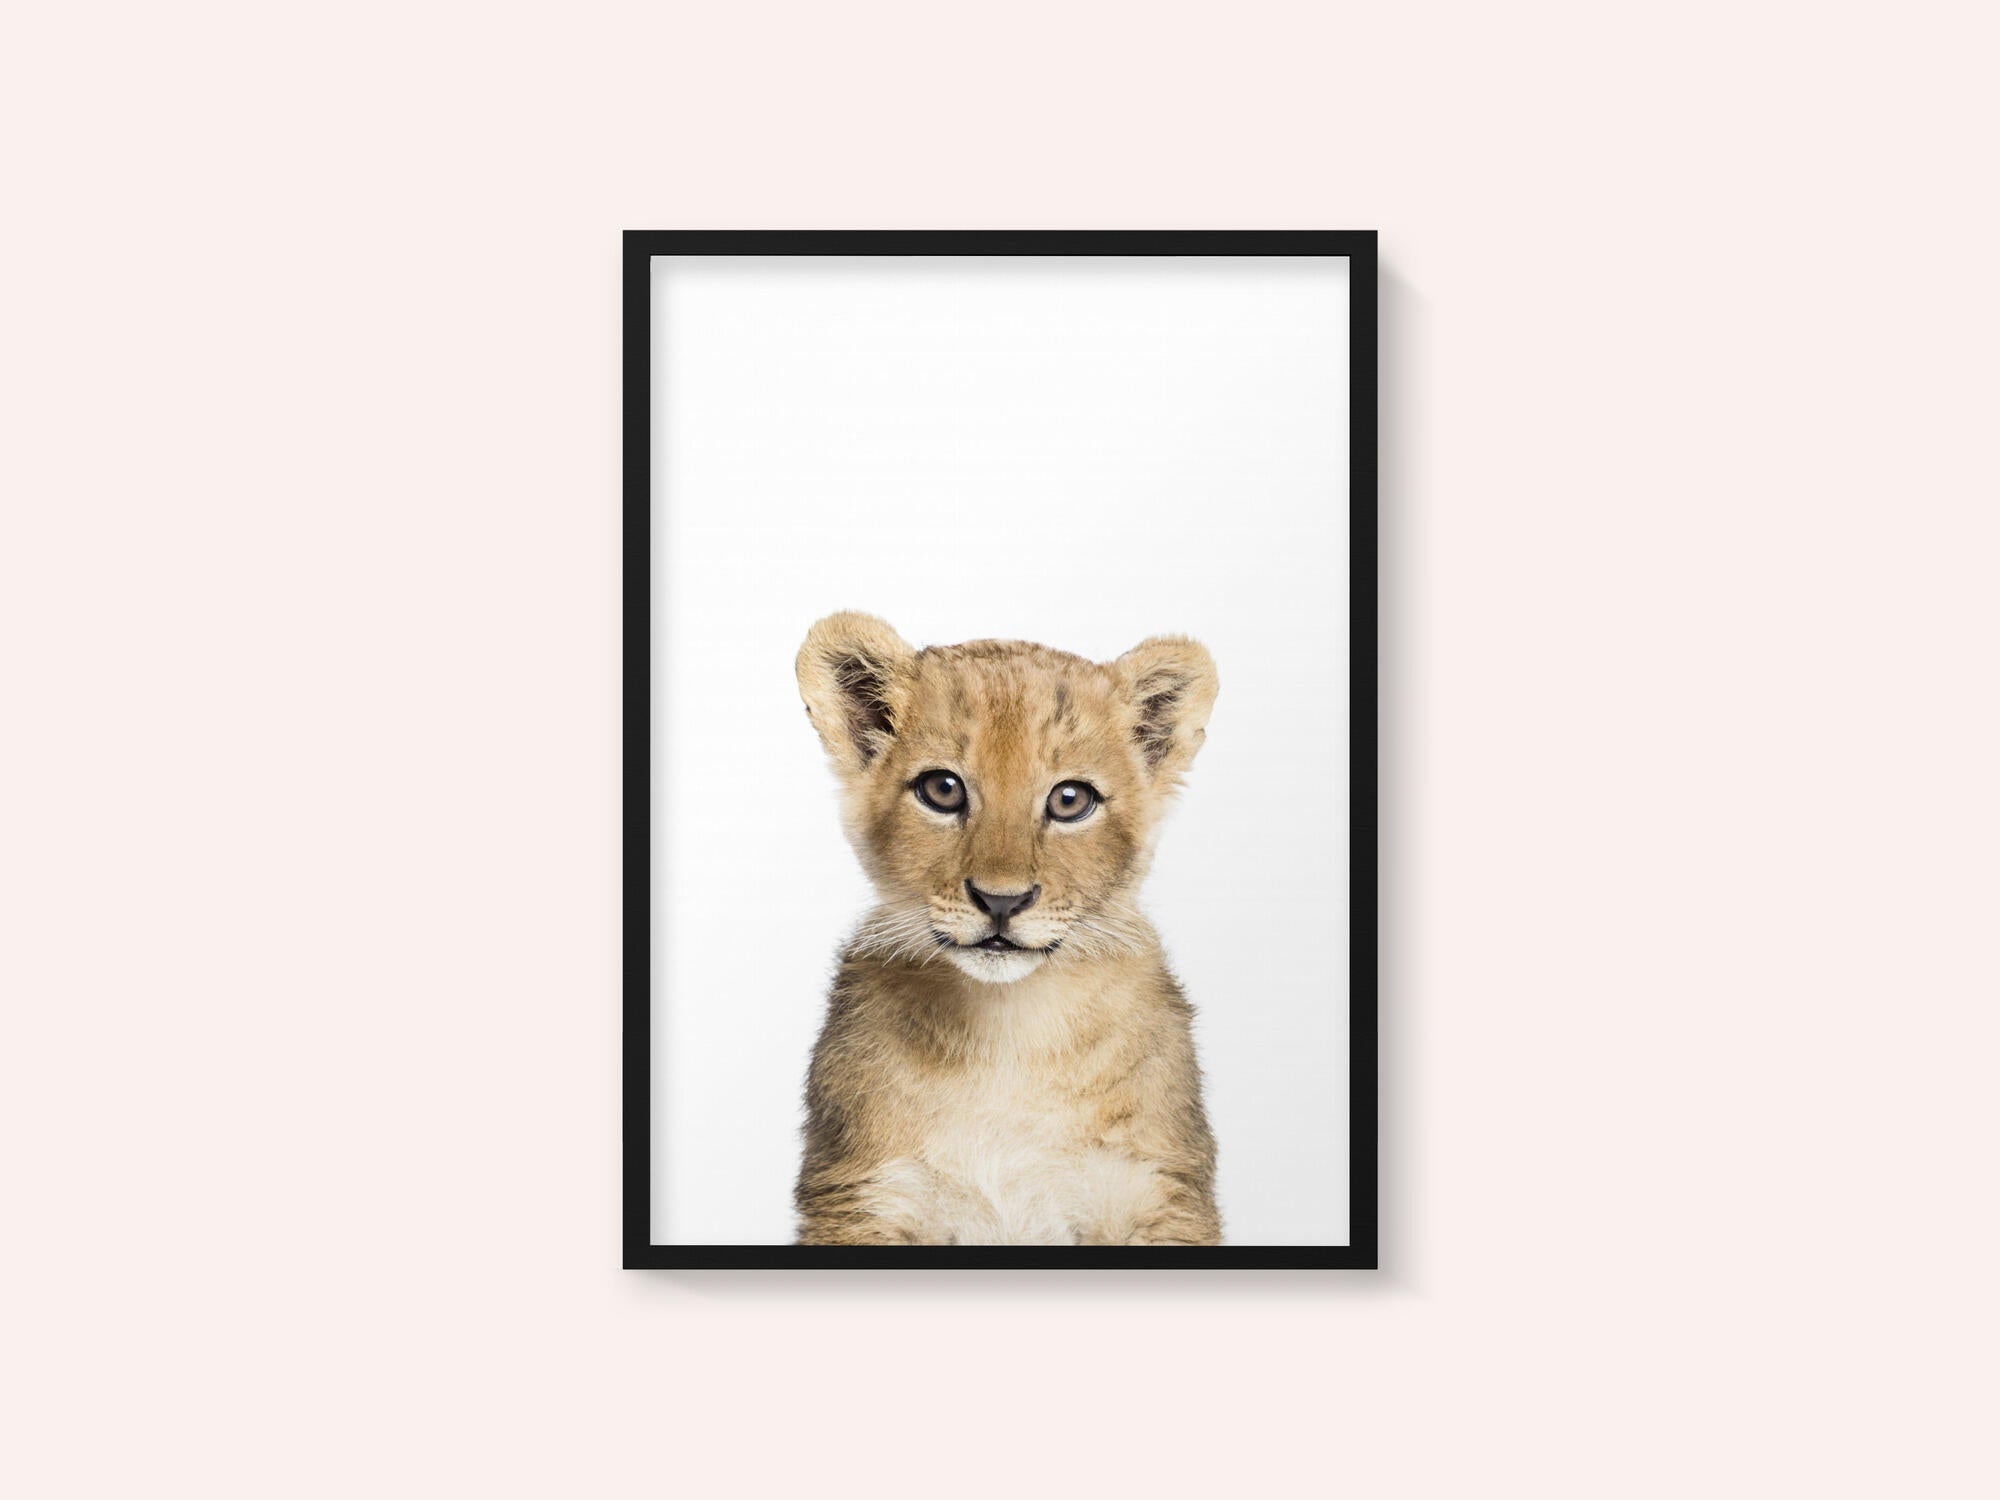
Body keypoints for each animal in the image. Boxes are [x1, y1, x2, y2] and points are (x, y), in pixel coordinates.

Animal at [792, 612, 1223, 1246]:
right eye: (942, 790)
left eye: (1070, 799)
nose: (1002, 901)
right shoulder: (864, 1195)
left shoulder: (1156, 1192)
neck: (1008, 1033)